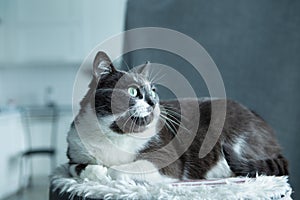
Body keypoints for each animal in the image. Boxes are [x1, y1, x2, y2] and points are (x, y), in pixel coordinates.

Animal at [67, 51, 288, 183]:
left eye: (153, 90)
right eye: (132, 91)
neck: (114, 134)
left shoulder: (166, 156)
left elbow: (118, 170)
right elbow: (75, 167)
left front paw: (108, 172)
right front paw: (96, 172)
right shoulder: (74, 149)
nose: (153, 102)